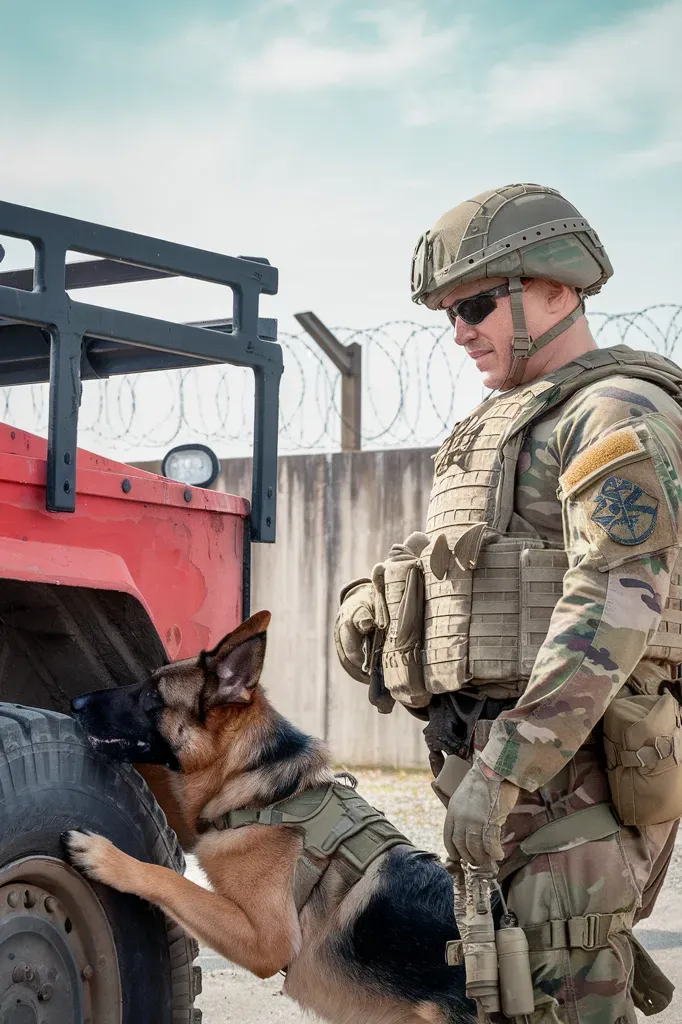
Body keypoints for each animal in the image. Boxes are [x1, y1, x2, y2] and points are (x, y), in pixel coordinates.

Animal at [67, 610, 473, 1019]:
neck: (266, 792)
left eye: (153, 695)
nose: (75, 703)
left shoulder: (265, 941)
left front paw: (107, 858)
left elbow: (172, 880)